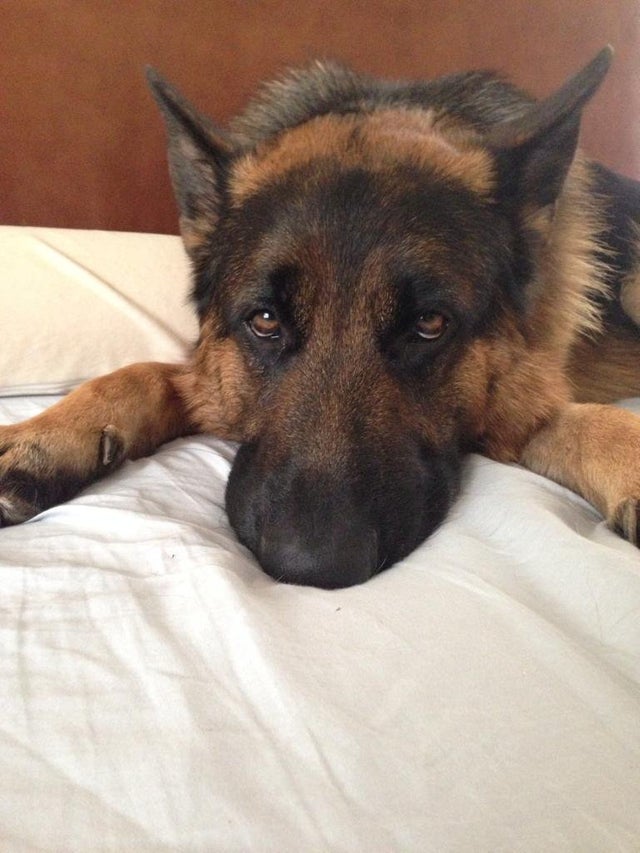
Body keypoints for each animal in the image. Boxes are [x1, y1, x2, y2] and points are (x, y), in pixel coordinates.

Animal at [1, 48, 640, 584]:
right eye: (264, 320)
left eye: (429, 325)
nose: (311, 566)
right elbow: (143, 374)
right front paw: (48, 436)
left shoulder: (519, 404)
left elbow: (585, 421)